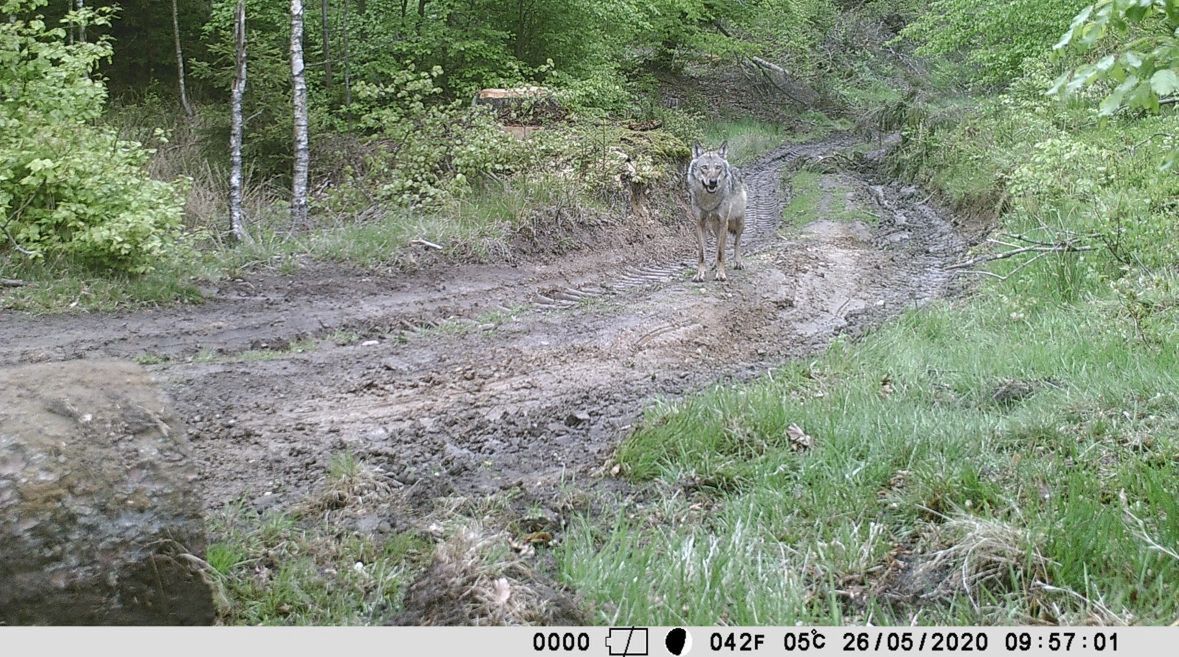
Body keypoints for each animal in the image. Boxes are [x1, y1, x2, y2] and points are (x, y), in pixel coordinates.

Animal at [683, 140, 745, 279]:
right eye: (704, 167)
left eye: (717, 167)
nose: (713, 181)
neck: (709, 201)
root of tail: (735, 169)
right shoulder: (700, 223)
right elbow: (702, 253)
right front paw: (700, 274)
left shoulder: (723, 222)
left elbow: (721, 252)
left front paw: (721, 274)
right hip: (714, 226)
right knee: (717, 242)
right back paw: (713, 265)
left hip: (738, 222)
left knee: (736, 242)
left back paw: (738, 262)